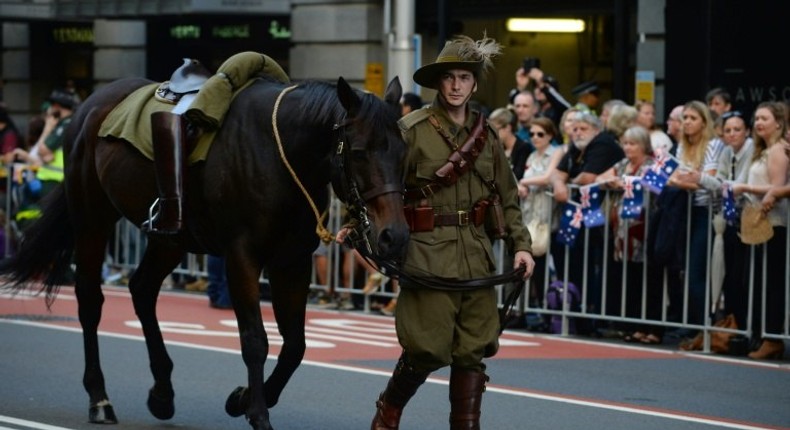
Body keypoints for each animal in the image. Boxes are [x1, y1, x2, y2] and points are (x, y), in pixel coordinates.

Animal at [4, 75, 414, 428]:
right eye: (358, 152)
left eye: (403, 152)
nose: (394, 236)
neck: (280, 153)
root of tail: (91, 104)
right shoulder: (242, 256)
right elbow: (255, 340)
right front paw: (257, 413)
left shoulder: (292, 261)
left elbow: (295, 345)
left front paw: (243, 398)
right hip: (93, 218)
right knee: (90, 301)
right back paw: (99, 399)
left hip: (170, 238)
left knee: (142, 289)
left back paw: (162, 392)